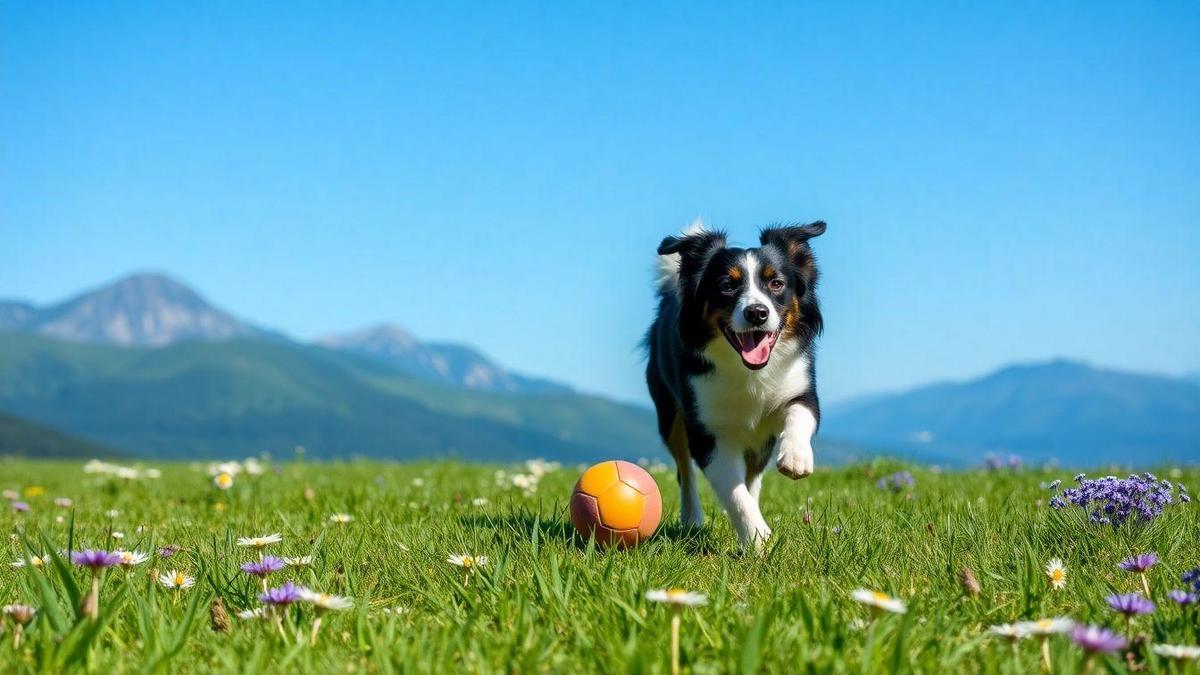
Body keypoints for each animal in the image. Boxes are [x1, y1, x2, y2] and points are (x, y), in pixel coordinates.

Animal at [648, 220, 825, 547]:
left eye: (776, 283)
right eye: (726, 285)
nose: (757, 313)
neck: (748, 371)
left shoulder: (801, 386)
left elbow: (801, 412)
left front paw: (796, 457)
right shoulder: (706, 430)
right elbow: (733, 492)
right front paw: (758, 539)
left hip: (760, 439)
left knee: (753, 473)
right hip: (668, 412)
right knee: (684, 470)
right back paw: (691, 519)